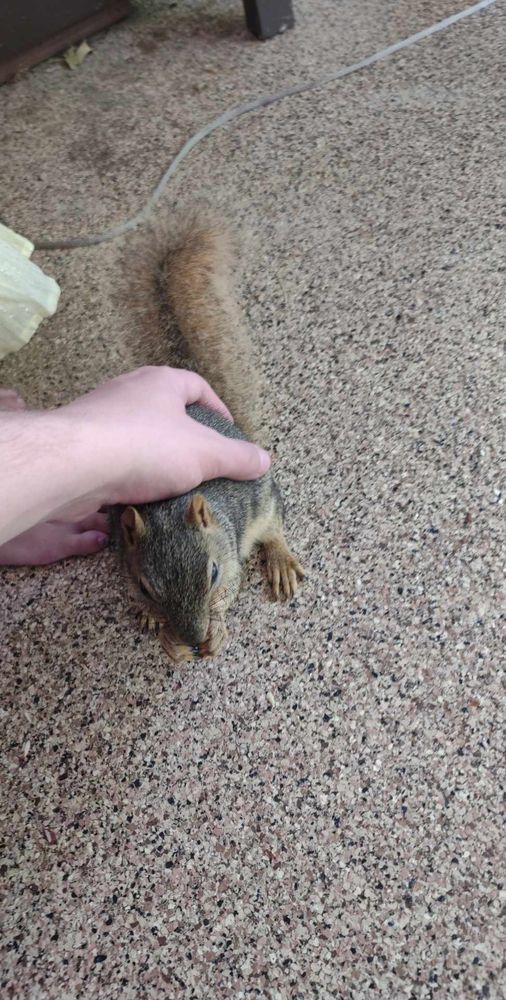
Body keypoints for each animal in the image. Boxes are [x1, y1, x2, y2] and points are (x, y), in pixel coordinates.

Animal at [110, 213, 303, 664]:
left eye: (212, 572)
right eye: (144, 586)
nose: (195, 639)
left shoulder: (230, 555)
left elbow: (231, 591)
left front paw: (216, 632)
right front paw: (162, 632)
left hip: (263, 497)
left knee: (275, 526)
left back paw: (280, 560)